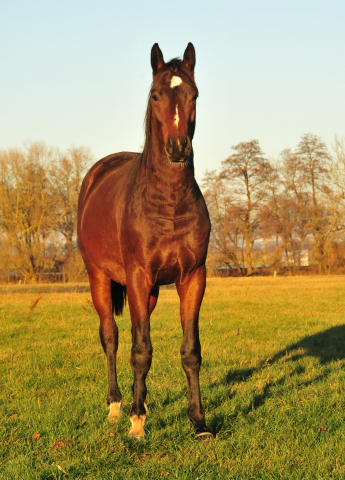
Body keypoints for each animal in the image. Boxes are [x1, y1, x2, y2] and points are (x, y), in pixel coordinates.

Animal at [77, 42, 212, 438]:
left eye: (194, 94)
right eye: (155, 95)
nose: (178, 148)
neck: (167, 202)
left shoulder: (193, 277)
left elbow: (190, 350)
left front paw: (199, 421)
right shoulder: (136, 277)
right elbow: (139, 349)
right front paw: (136, 424)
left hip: (149, 293)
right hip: (100, 278)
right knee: (111, 336)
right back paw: (118, 406)